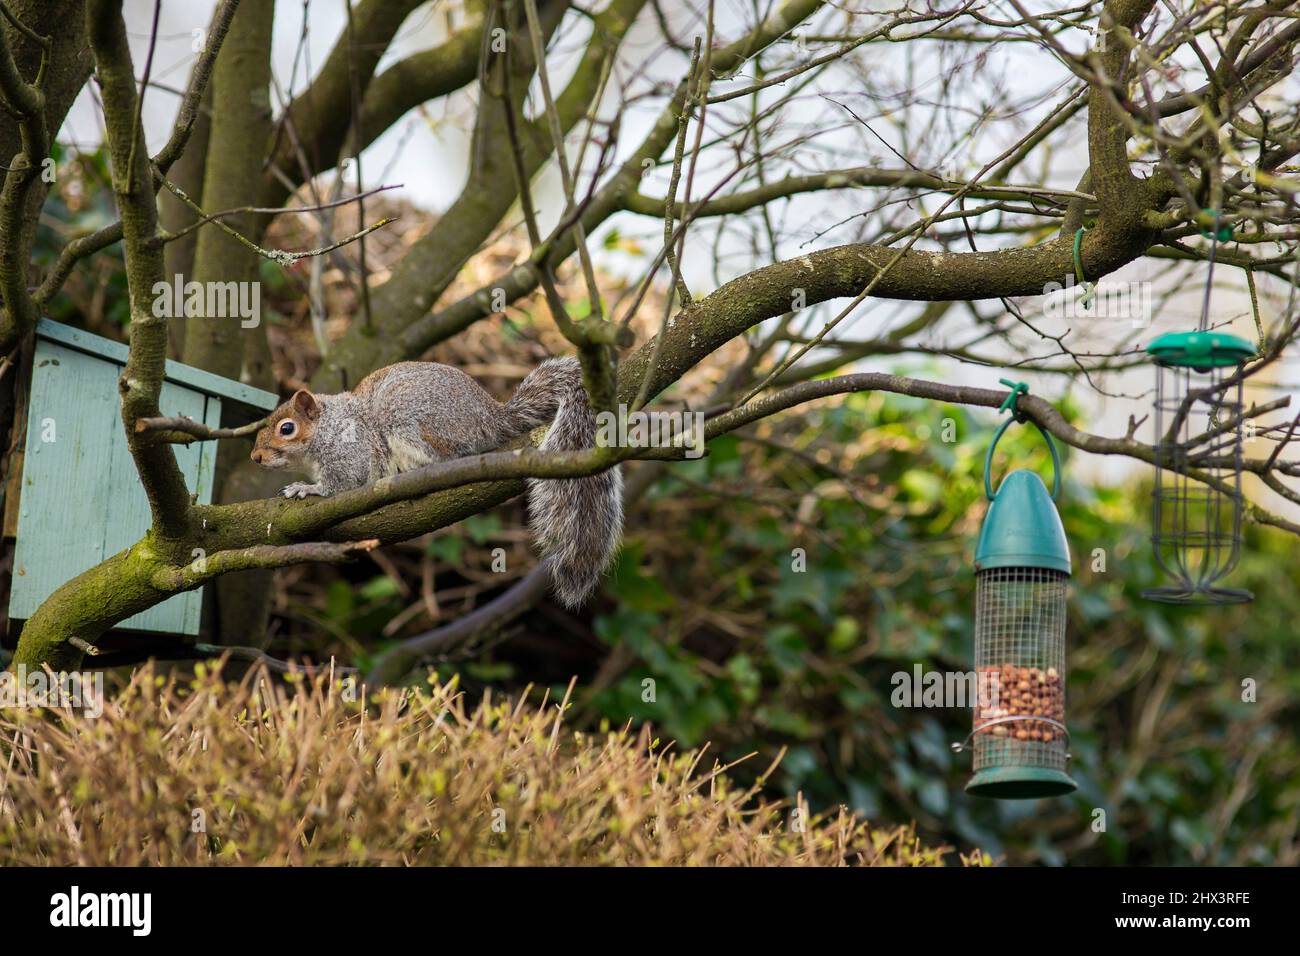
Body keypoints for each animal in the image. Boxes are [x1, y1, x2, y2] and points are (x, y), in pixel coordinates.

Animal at [251, 357, 623, 608]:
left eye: (286, 429)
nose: (255, 457)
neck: (328, 427)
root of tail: (491, 419)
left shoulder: (349, 454)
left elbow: (340, 486)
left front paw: (306, 488)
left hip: (409, 418)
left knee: (445, 457)